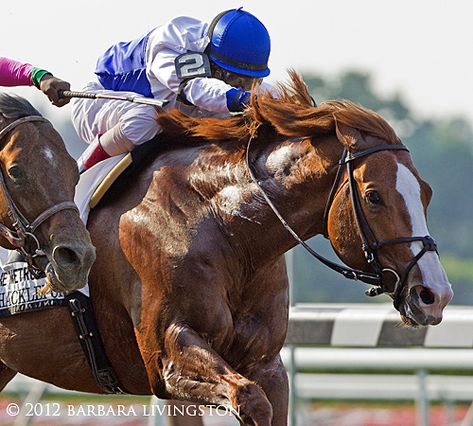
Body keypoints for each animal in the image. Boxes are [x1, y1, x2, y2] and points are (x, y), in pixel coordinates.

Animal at [0, 77, 452, 426]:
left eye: (428, 193)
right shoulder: (167, 358)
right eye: (374, 196)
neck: (227, 230)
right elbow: (249, 398)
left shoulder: (267, 364)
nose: (434, 294)